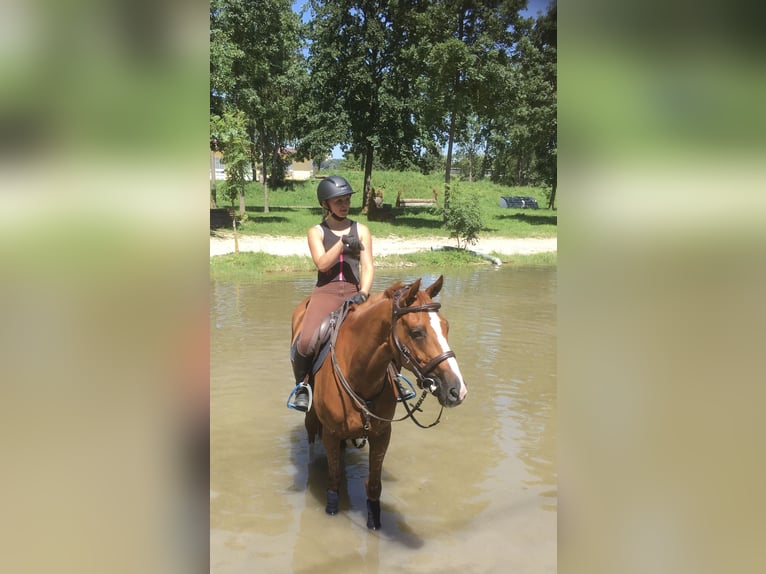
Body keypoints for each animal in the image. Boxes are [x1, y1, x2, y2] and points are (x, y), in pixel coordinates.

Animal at [290, 275, 468, 529]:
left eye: (446, 327)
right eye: (417, 332)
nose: (457, 390)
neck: (358, 374)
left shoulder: (382, 434)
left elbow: (374, 485)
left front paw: (374, 522)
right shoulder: (331, 433)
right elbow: (333, 478)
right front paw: (331, 510)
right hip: (312, 417)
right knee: (312, 438)